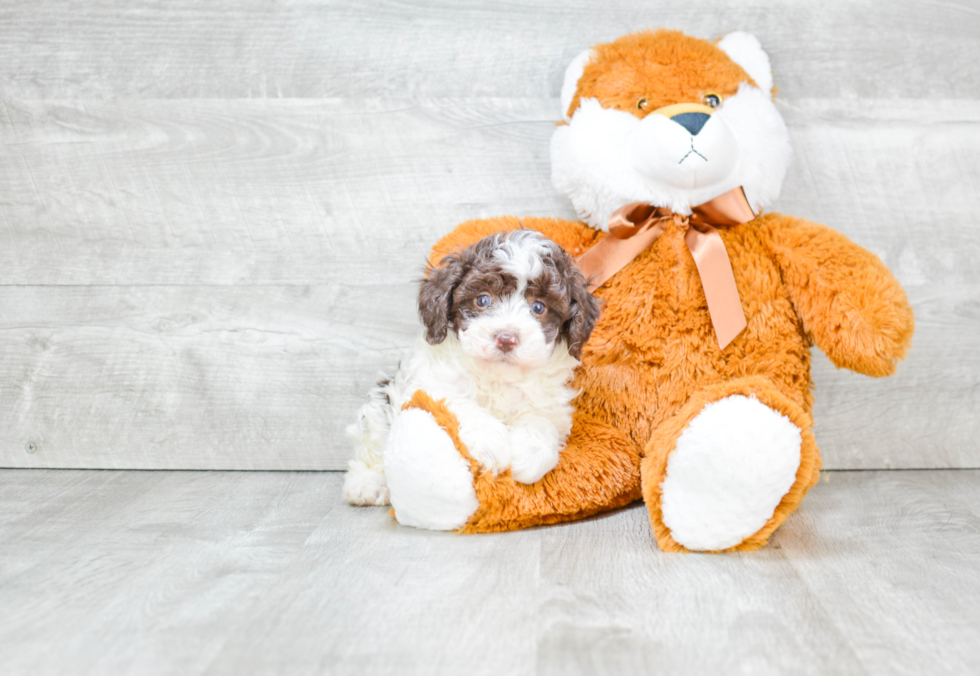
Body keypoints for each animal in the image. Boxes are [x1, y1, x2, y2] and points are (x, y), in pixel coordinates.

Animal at [348, 230, 600, 524]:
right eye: (482, 300)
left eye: (539, 307)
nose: (506, 338)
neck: (497, 375)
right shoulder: (427, 385)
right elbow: (459, 405)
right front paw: (493, 443)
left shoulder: (548, 404)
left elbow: (542, 423)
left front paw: (527, 455)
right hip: (382, 405)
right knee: (372, 444)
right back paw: (367, 484)